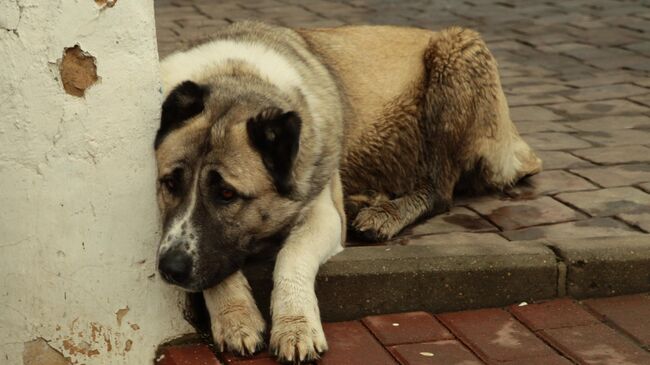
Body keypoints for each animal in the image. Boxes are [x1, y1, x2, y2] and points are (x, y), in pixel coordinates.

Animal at [154, 20, 540, 364]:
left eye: (227, 194)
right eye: (170, 184)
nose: (169, 269)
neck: (237, 76)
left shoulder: (322, 212)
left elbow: (291, 257)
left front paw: (295, 326)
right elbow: (213, 267)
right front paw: (236, 317)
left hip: (455, 59)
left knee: (440, 190)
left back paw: (384, 214)